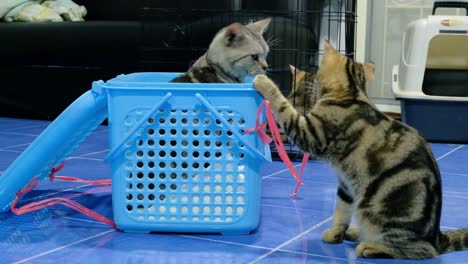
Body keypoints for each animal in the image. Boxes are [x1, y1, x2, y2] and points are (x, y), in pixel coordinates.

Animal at [254, 41, 468, 260]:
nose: (303, 95)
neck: (353, 95)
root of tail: (437, 236)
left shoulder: (308, 133)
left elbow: (283, 108)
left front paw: (265, 83)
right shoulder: (346, 185)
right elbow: (341, 211)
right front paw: (335, 234)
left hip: (379, 212)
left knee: (422, 250)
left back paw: (371, 247)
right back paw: (356, 232)